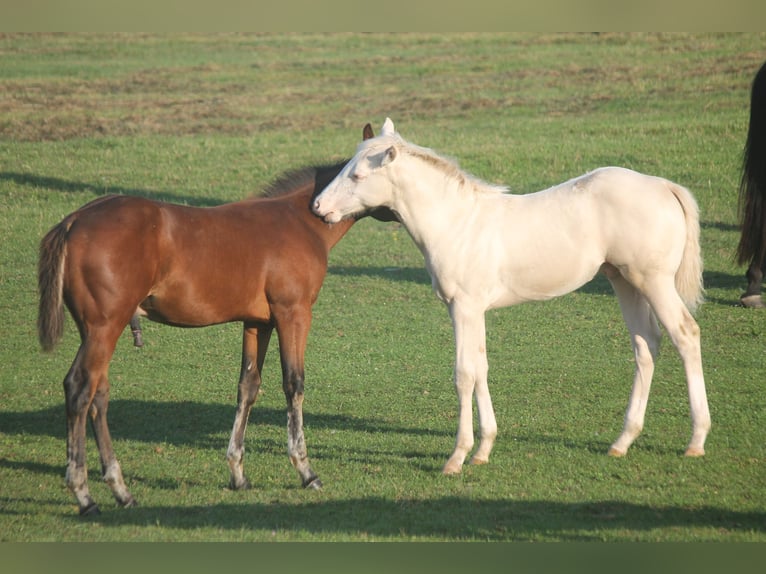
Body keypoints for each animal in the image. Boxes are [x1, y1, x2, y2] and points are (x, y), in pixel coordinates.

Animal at [38, 123, 393, 515]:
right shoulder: (293, 313)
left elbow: (248, 386)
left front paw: (238, 474)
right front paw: (306, 471)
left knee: (98, 396)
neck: (300, 221)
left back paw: (121, 491)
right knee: (80, 389)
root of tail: (73, 221)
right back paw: (84, 495)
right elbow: (294, 384)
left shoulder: (258, 322)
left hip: (96, 330)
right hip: (105, 327)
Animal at [313, 118, 710, 475]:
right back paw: (622, 442)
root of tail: (664, 186)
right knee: (646, 345)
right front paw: (483, 450)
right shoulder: (475, 311)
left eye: (357, 176)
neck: (457, 224)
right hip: (625, 282)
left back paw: (696, 440)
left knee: (686, 334)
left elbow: (464, 374)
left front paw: (457, 458)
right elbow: (481, 368)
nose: (317, 207)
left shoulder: (463, 308)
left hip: (654, 282)